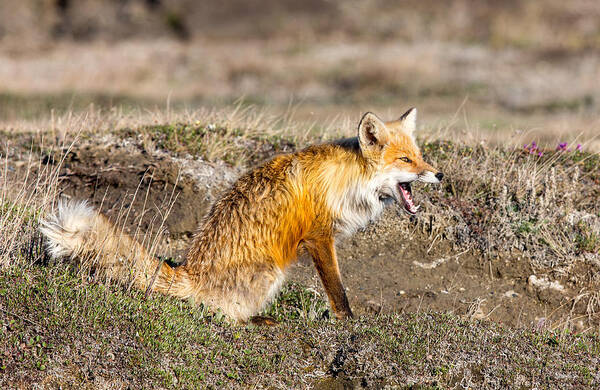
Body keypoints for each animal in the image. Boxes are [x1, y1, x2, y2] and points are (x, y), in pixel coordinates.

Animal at [41, 108, 440, 322]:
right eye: (406, 160)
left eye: (420, 157)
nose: (438, 175)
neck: (347, 180)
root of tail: (191, 272)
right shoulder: (318, 237)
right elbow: (338, 290)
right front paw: (348, 324)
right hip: (270, 272)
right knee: (218, 312)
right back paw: (257, 320)